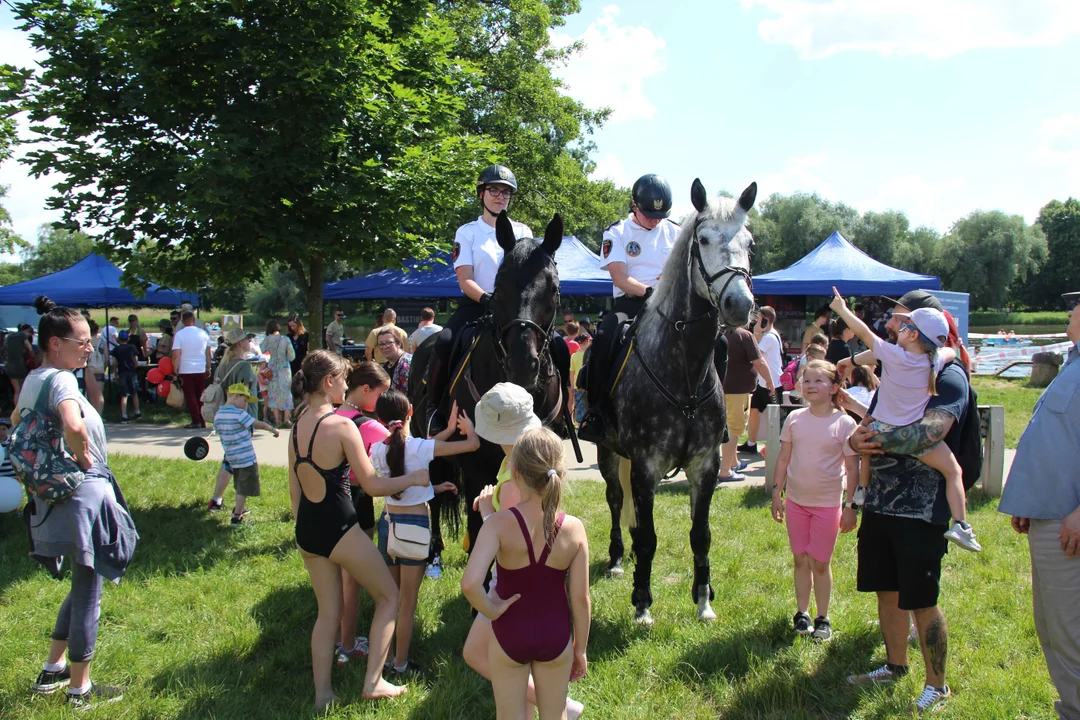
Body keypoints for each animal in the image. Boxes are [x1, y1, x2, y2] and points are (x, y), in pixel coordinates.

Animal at [408, 212, 570, 552]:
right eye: (500, 283)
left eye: (553, 288)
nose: (522, 364)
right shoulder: (475, 467)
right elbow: (478, 524)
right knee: (434, 495)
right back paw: (434, 549)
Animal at [596, 179, 756, 626]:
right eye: (703, 240)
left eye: (749, 244)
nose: (741, 305)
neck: (682, 368)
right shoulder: (646, 465)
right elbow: (649, 537)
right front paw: (642, 603)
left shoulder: (705, 465)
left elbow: (700, 535)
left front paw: (703, 600)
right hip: (607, 452)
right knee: (616, 502)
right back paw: (618, 560)